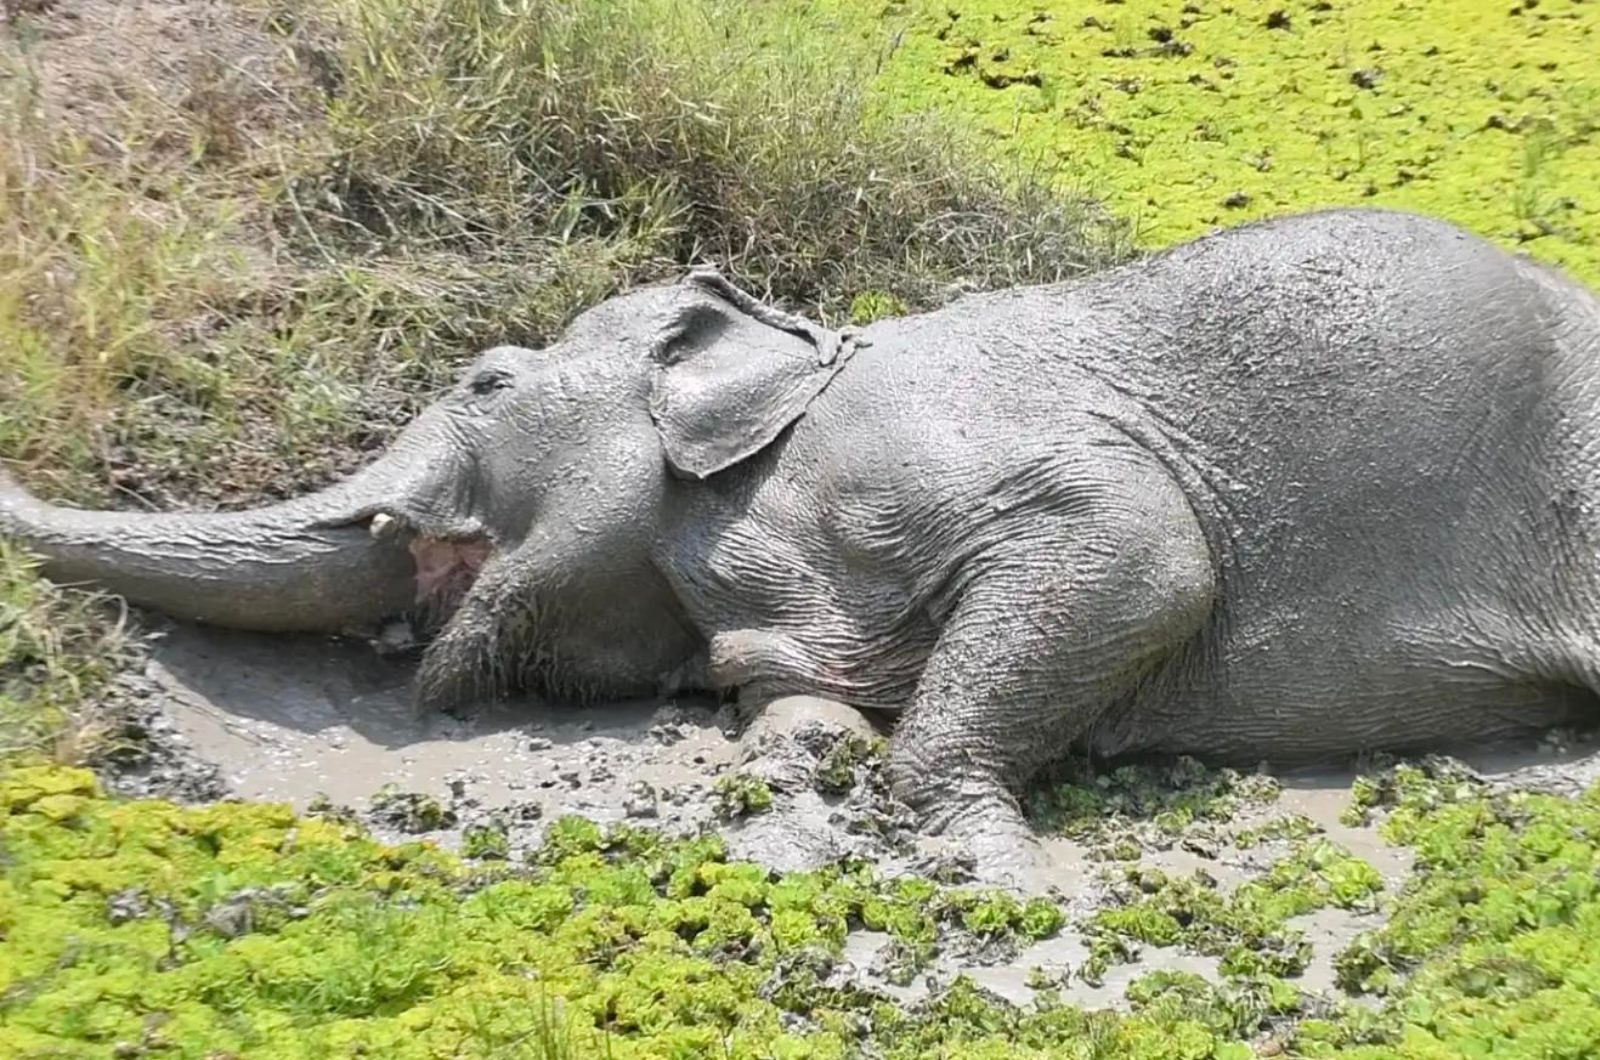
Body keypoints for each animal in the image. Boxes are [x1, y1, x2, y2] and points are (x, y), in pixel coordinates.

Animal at [3, 204, 1600, 877]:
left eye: (489, 383)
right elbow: (792, 697)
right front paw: (801, 748)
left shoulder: (925, 443)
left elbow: (1140, 548)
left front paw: (996, 868)